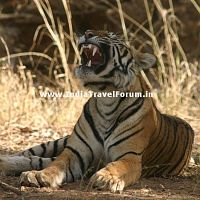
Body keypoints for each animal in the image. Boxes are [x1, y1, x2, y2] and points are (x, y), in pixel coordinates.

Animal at [0, 29, 194, 192]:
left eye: (113, 37)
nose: (87, 33)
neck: (106, 98)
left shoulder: (130, 156)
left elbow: (117, 166)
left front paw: (106, 178)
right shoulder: (75, 152)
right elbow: (56, 165)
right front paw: (40, 176)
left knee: (39, 160)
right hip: (60, 142)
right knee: (33, 156)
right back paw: (10, 163)